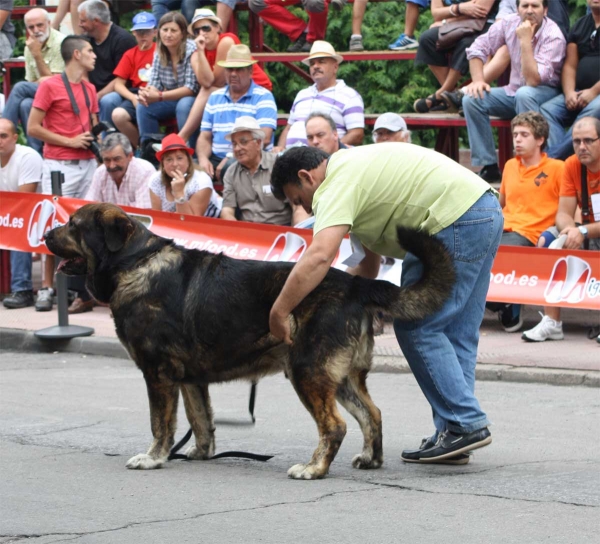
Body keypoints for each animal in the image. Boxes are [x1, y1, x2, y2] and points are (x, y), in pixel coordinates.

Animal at [43, 204, 454, 480]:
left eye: (73, 225)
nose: (46, 234)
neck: (135, 261)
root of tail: (355, 284)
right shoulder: (189, 379)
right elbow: (201, 419)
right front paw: (201, 453)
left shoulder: (157, 374)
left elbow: (161, 423)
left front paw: (154, 457)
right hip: (341, 377)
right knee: (372, 414)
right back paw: (370, 459)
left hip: (308, 370)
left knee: (334, 426)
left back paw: (314, 468)